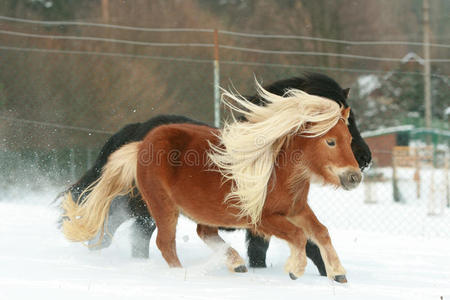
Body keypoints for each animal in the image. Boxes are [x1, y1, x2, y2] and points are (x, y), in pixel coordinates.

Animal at [60, 72, 370, 276]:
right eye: (333, 137)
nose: (363, 163)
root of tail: (138, 136)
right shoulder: (262, 218)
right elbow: (302, 240)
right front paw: (303, 270)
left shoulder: (286, 213)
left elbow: (313, 236)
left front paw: (335, 273)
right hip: (149, 207)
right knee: (138, 237)